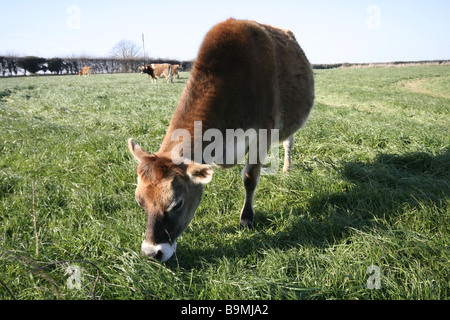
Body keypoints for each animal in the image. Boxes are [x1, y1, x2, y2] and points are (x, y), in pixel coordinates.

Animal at [128, 18, 314, 262]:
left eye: (177, 204)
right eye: (139, 201)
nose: (151, 253)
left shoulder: (262, 134)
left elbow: (249, 177)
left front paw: (247, 218)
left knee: (287, 144)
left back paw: (286, 167)